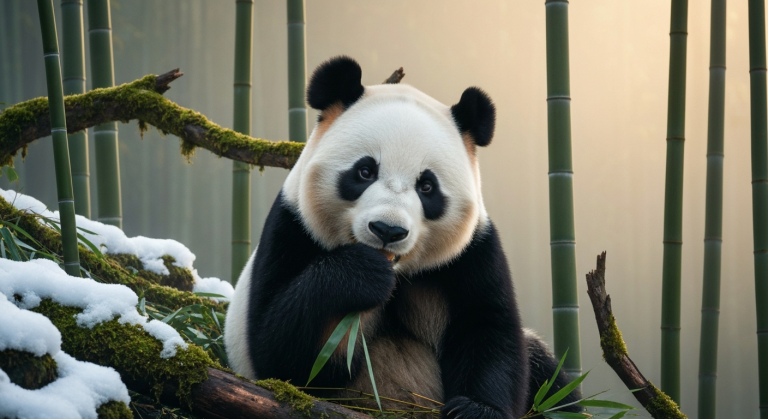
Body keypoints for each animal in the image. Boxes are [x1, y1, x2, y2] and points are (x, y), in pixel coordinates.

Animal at [224, 56, 582, 418]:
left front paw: (475, 409)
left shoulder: (473, 253)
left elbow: (488, 332)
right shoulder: (292, 228)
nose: (388, 230)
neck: (399, 274)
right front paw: (359, 275)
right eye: (365, 171)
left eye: (427, 186)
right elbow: (281, 353)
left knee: (549, 376)